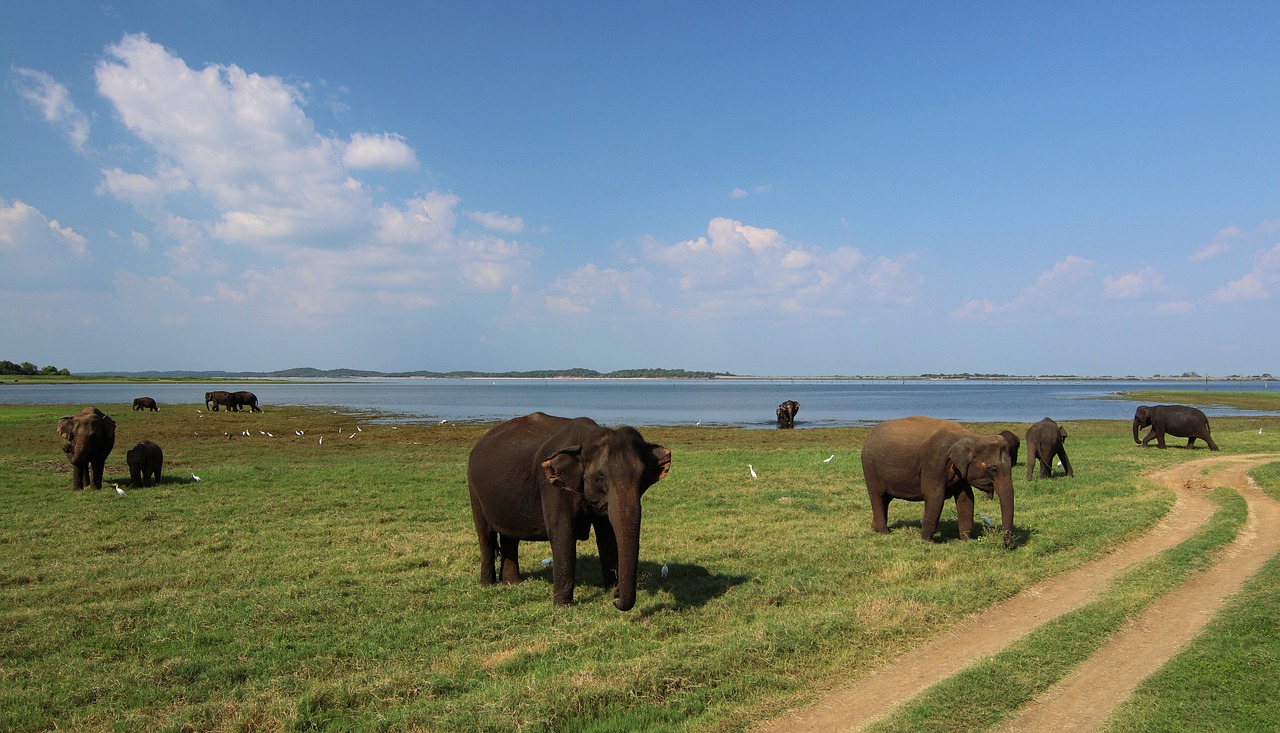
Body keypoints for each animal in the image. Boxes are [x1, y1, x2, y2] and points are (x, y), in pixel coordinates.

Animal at [468, 409, 670, 608]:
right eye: (600, 477)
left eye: (642, 479)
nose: (616, 596)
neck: (585, 439)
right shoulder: (550, 483)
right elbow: (562, 530)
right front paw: (563, 605)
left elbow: (607, 534)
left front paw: (609, 589)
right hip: (474, 489)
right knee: (486, 536)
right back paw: (487, 584)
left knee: (510, 537)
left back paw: (513, 583)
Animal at [860, 414, 1018, 544]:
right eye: (993, 469)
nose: (1007, 545)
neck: (972, 436)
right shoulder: (934, 463)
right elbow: (935, 496)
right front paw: (927, 542)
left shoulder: (960, 471)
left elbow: (966, 498)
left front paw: (967, 540)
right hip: (870, 468)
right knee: (877, 496)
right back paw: (884, 532)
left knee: (885, 499)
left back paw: (875, 528)